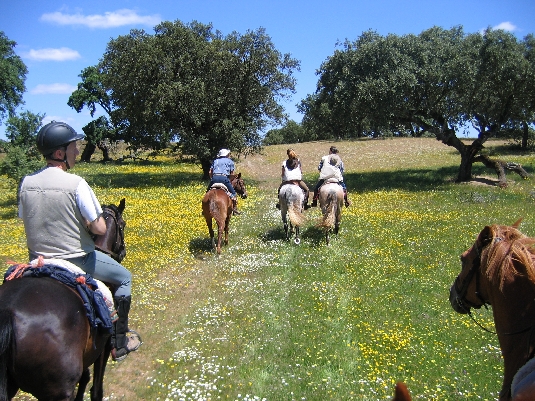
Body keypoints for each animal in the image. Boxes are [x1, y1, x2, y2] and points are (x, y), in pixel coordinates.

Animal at [0, 198, 127, 398]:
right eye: (123, 224)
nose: (122, 253)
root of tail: (8, 312)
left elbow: (85, 378)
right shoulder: (104, 345)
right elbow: (96, 389)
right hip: (59, 389)